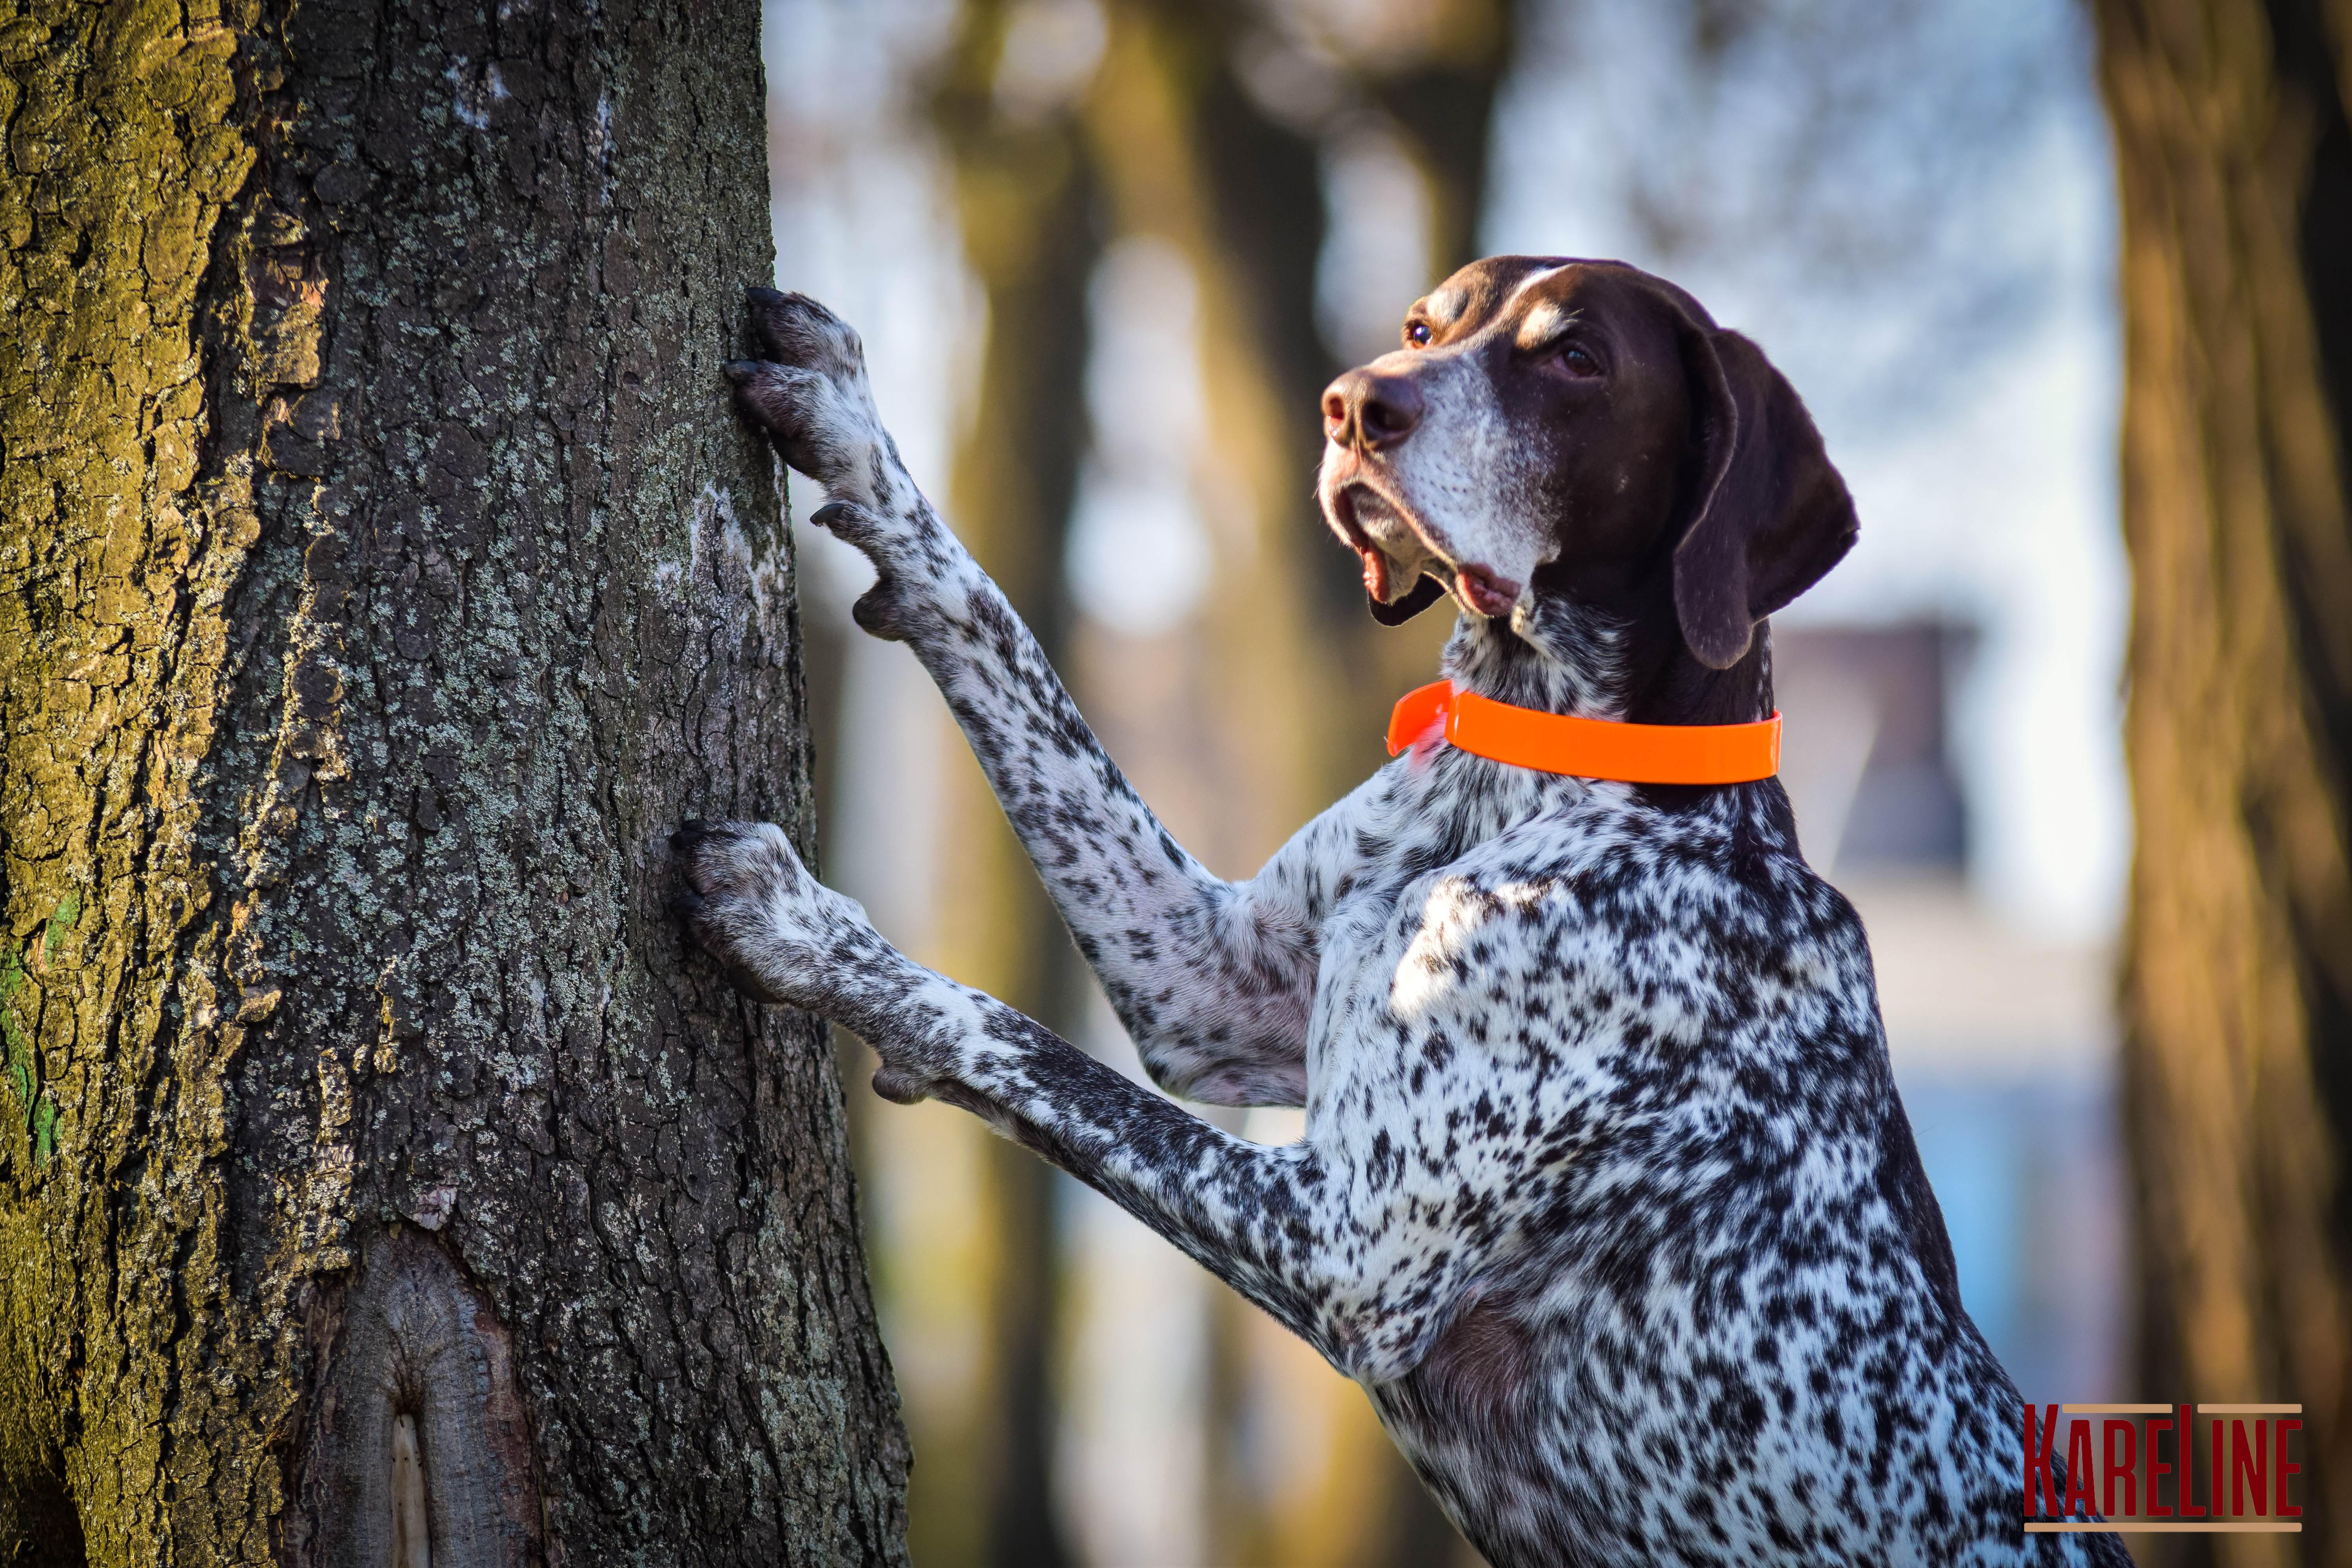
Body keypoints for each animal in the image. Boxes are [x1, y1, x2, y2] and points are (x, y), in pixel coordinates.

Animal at [673, 261, 2126, 1568]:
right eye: (1427, 325)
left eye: (1576, 358)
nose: (1352, 404)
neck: (1533, 764)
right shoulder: (1204, 980)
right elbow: (1008, 654)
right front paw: (857, 439)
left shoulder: (1340, 1244)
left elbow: (1017, 1044)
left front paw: (808, 927)